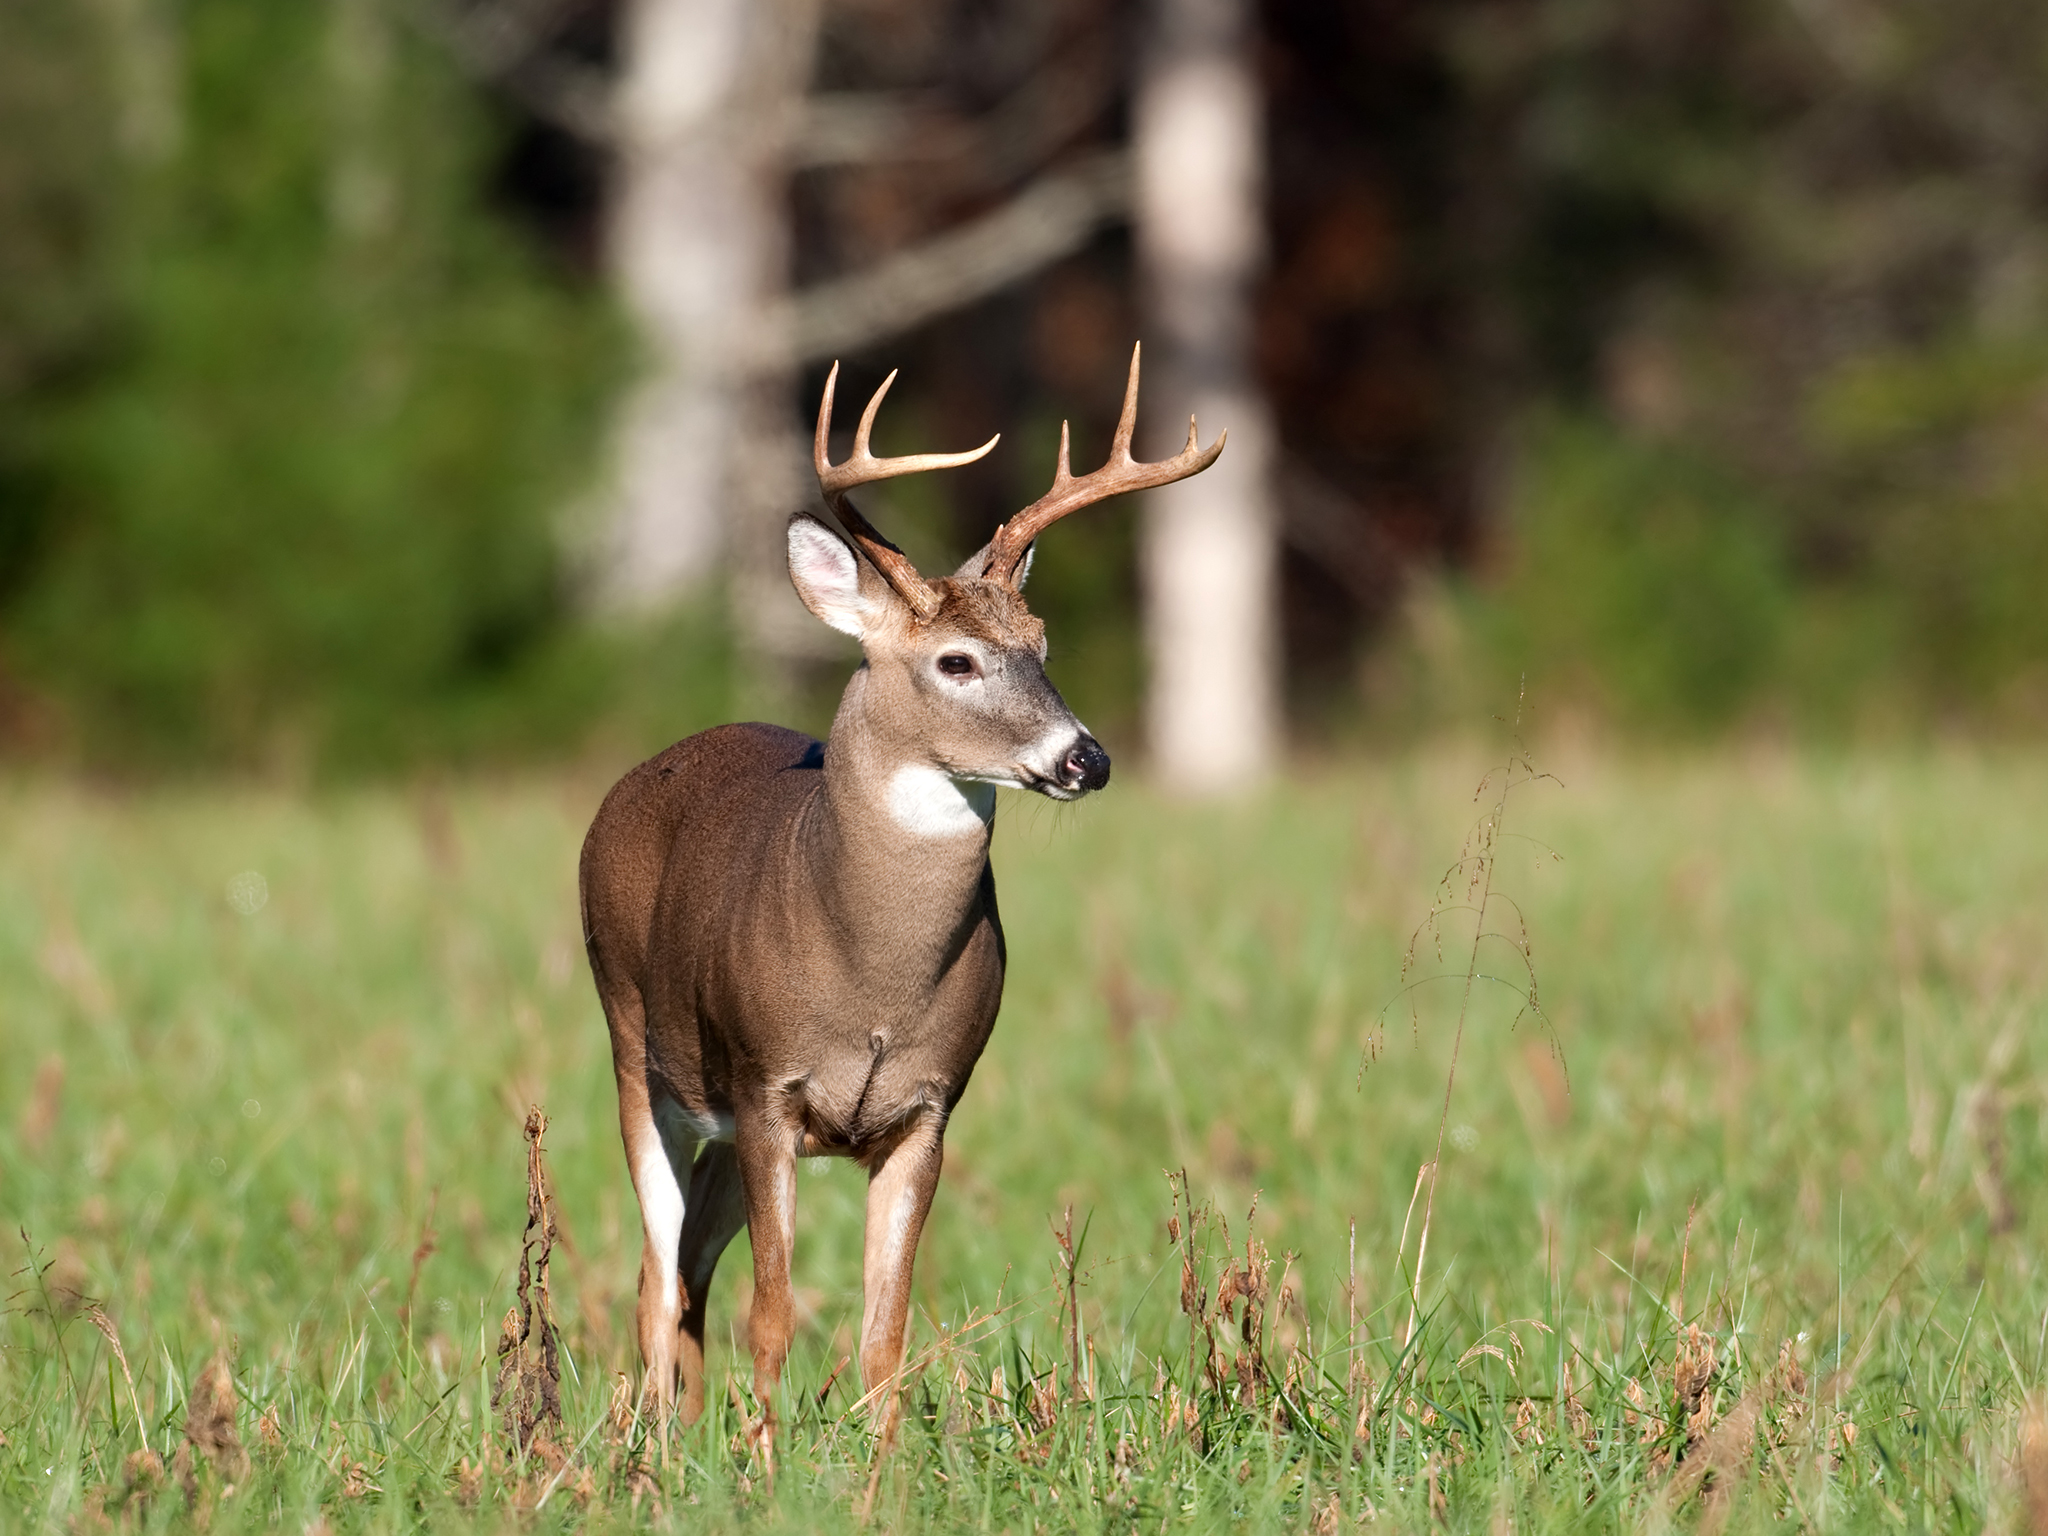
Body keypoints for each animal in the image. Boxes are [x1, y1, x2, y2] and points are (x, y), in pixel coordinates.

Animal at [578, 343, 1223, 1452]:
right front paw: (763, 1462)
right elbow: (774, 1313)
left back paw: (682, 1433)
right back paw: (659, 1447)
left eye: (1042, 645)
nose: (1086, 758)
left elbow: (884, 1330)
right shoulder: (767, 1086)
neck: (872, 976)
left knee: (684, 1268)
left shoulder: (929, 1105)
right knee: (658, 1280)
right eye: (954, 660)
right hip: (636, 1050)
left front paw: (884, 1470)